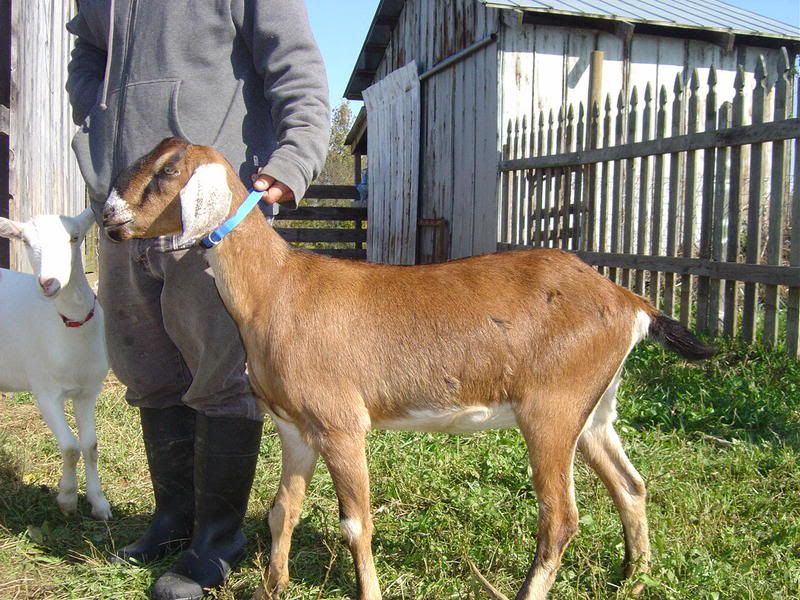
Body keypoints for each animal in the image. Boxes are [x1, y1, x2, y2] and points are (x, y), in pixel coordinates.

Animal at [0, 209, 111, 520]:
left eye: (74, 237)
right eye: (25, 241)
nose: (48, 283)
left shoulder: (88, 391)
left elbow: (90, 445)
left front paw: (99, 503)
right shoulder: (45, 392)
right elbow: (71, 447)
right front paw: (67, 499)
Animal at [102, 138, 714, 600]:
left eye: (168, 170)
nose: (110, 217)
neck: (277, 289)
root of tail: (631, 303)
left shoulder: (342, 423)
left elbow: (355, 523)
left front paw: (366, 592)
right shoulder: (295, 427)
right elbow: (282, 511)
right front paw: (269, 589)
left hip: (551, 409)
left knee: (560, 516)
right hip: (595, 409)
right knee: (631, 486)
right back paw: (635, 578)